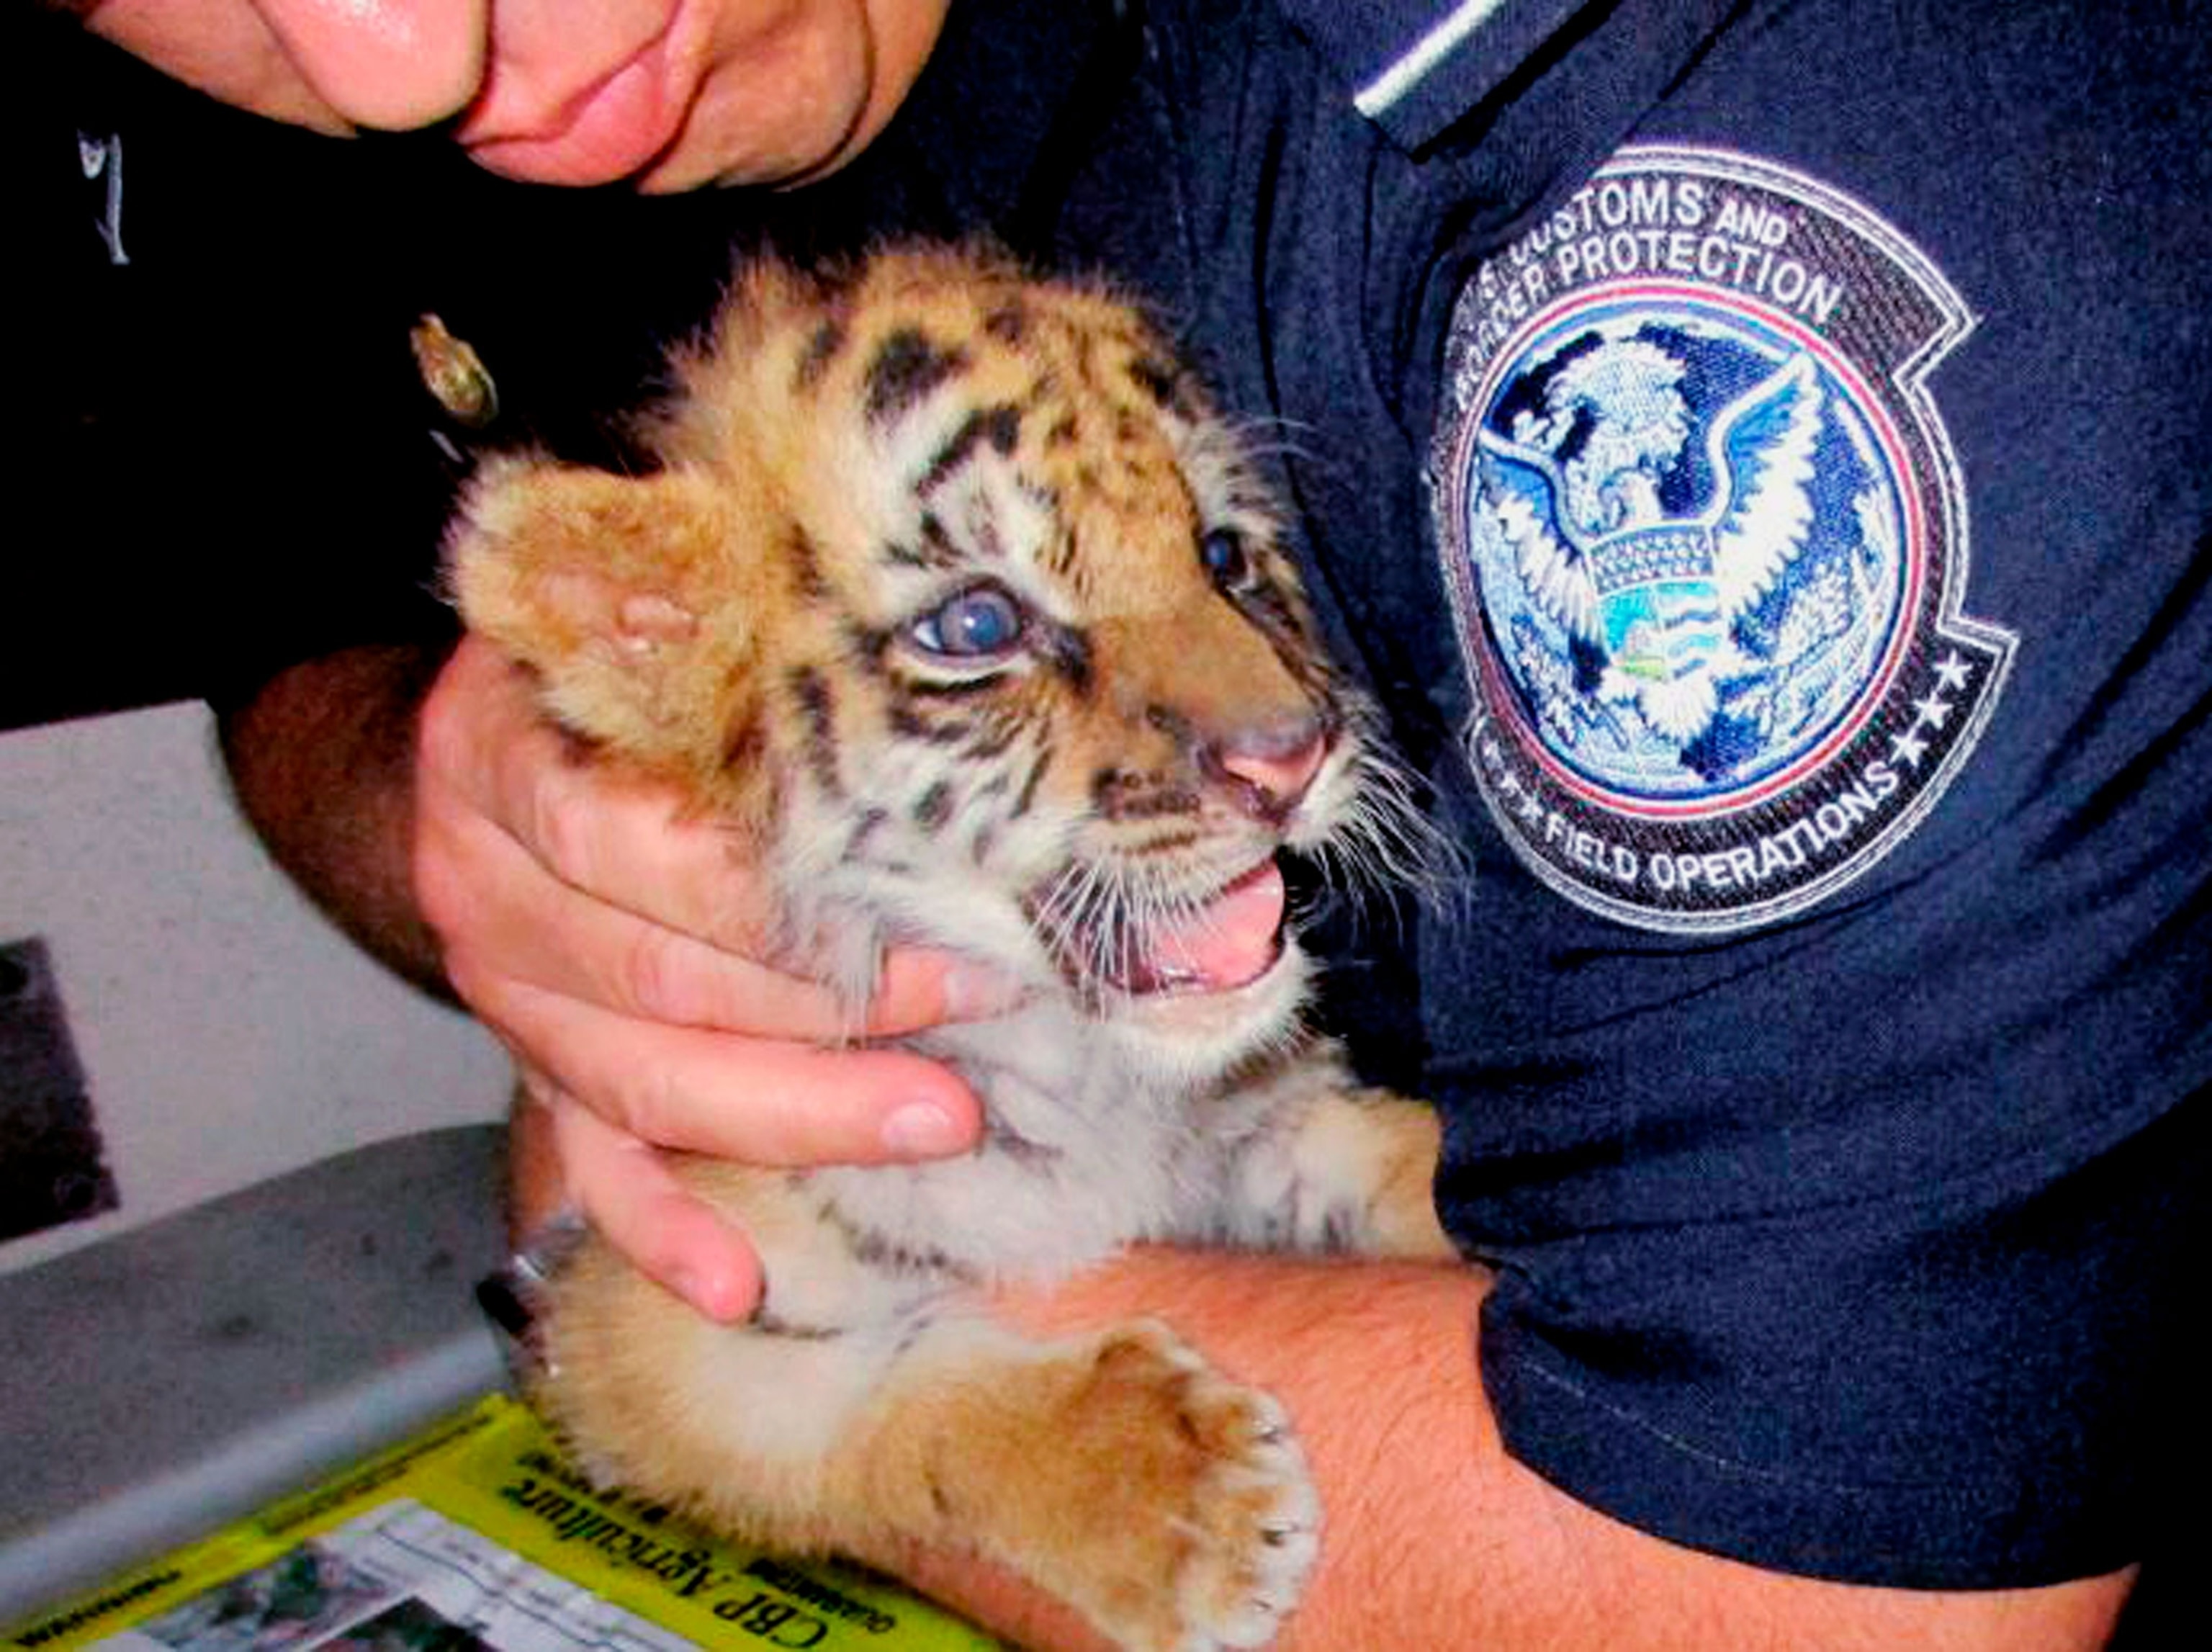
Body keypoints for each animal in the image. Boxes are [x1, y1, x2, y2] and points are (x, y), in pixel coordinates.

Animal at [446, 246, 1458, 1652]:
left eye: (1220, 555)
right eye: (978, 626)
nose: (1291, 753)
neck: (1078, 1071)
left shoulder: (1259, 1124)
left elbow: (1396, 1157)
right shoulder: (660, 1324)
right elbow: (892, 1411)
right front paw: (1185, 1501)